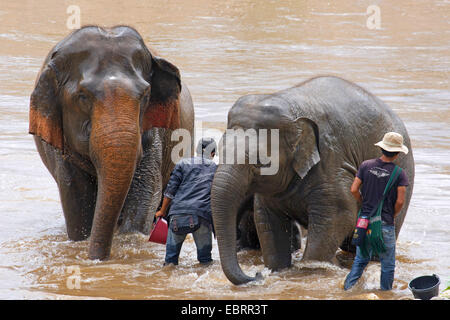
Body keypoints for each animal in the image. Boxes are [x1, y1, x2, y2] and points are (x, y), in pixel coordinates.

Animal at [28, 25, 193, 260]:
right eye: (82, 97)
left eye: (146, 95)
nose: (98, 259)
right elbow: (75, 197)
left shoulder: (153, 134)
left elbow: (146, 192)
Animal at [211, 75, 414, 284]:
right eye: (219, 152)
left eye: (260, 162)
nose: (257, 274)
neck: (290, 108)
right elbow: (267, 221)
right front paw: (277, 270)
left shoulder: (331, 164)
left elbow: (339, 215)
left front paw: (310, 269)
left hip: (403, 173)